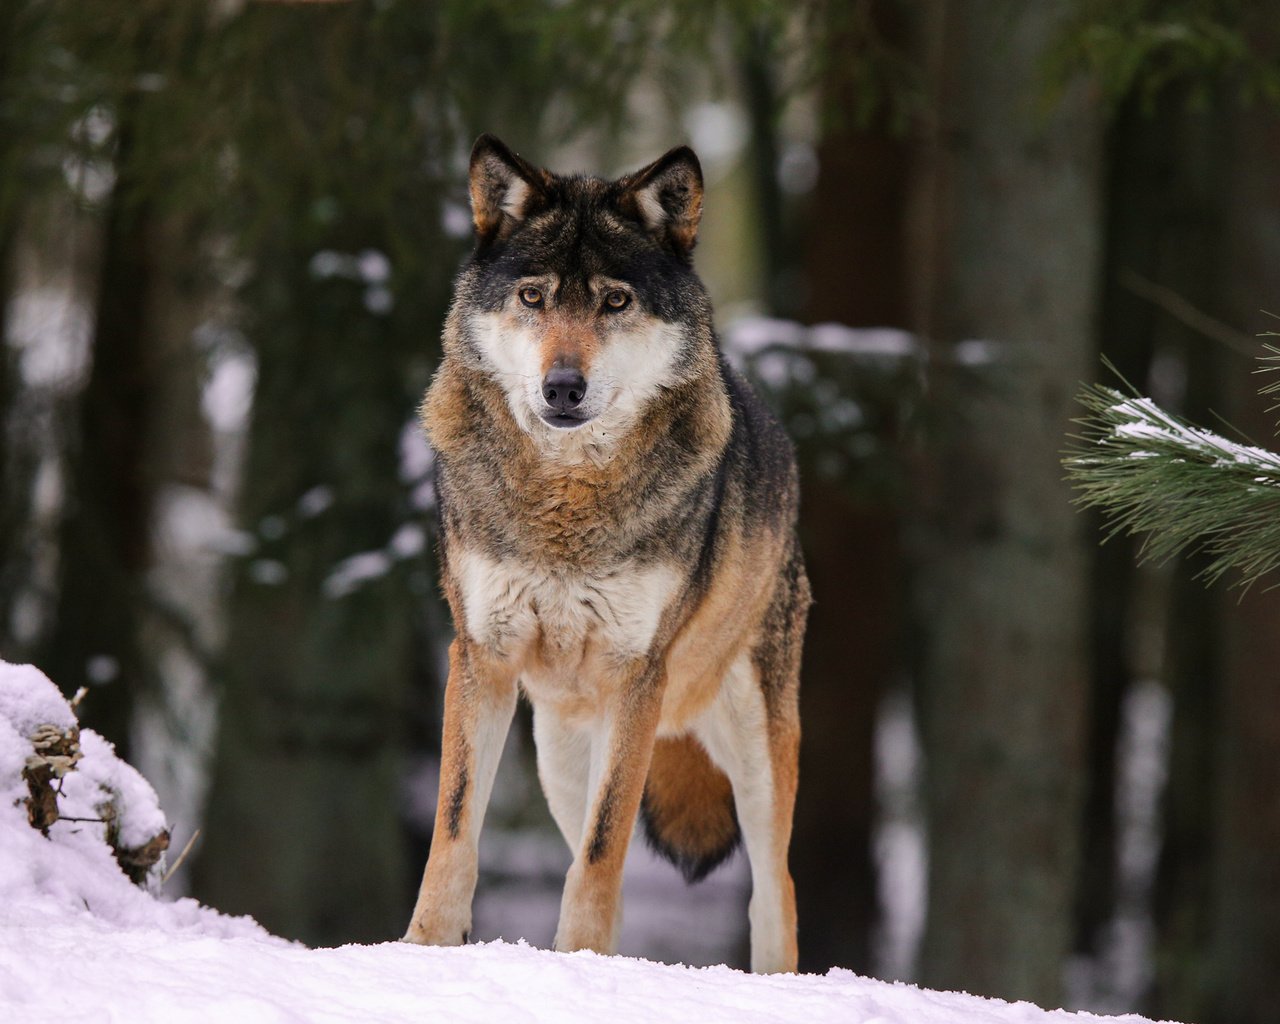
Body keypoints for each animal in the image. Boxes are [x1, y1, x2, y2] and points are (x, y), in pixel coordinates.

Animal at [404, 131, 808, 972]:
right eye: (533, 298)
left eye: (614, 302)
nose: (563, 387)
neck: (566, 500)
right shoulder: (481, 656)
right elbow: (455, 831)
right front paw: (422, 948)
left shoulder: (637, 675)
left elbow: (601, 851)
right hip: (560, 751)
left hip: (753, 745)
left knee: (773, 891)